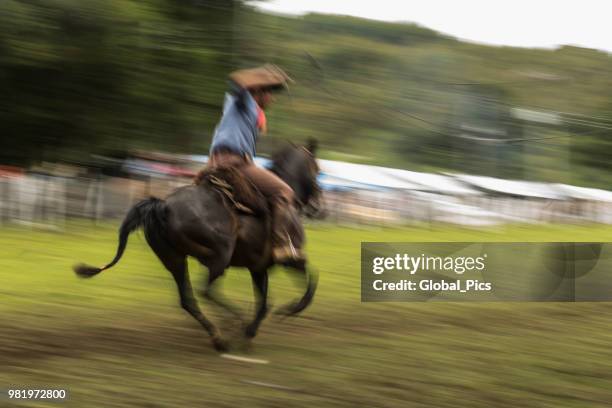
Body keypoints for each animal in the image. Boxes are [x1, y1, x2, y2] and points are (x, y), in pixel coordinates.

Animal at [74, 140, 322, 350]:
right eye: (317, 168)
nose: (319, 206)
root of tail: (163, 205)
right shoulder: (290, 259)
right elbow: (309, 282)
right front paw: (287, 311)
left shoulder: (259, 267)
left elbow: (265, 301)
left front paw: (253, 329)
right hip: (221, 253)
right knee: (206, 291)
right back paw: (233, 323)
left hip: (175, 260)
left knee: (188, 300)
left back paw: (219, 335)